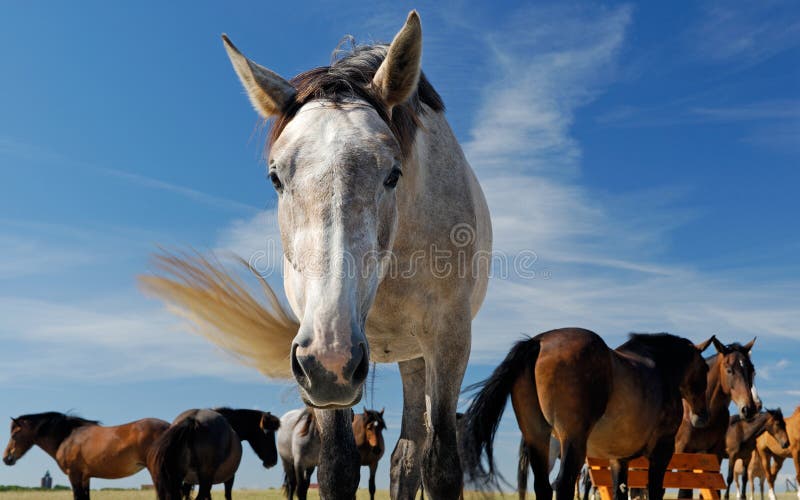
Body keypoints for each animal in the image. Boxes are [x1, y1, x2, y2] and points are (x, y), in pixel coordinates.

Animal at [149, 408, 280, 500]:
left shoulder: (188, 482)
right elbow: (227, 495)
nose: (273, 460)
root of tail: (194, 420)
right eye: (268, 434)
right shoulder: (229, 478)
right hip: (204, 478)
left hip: (179, 478)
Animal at [460, 329, 712, 500]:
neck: (661, 369)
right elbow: (654, 490)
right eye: (705, 369)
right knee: (562, 485)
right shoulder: (662, 451)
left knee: (543, 486)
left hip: (537, 438)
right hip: (572, 441)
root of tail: (538, 342)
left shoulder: (618, 459)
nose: (702, 416)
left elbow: (620, 491)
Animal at [674, 338, 759, 498]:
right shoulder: (683, 452)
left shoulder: (714, 455)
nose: (749, 409)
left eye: (752, 370)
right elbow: (684, 492)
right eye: (729, 370)